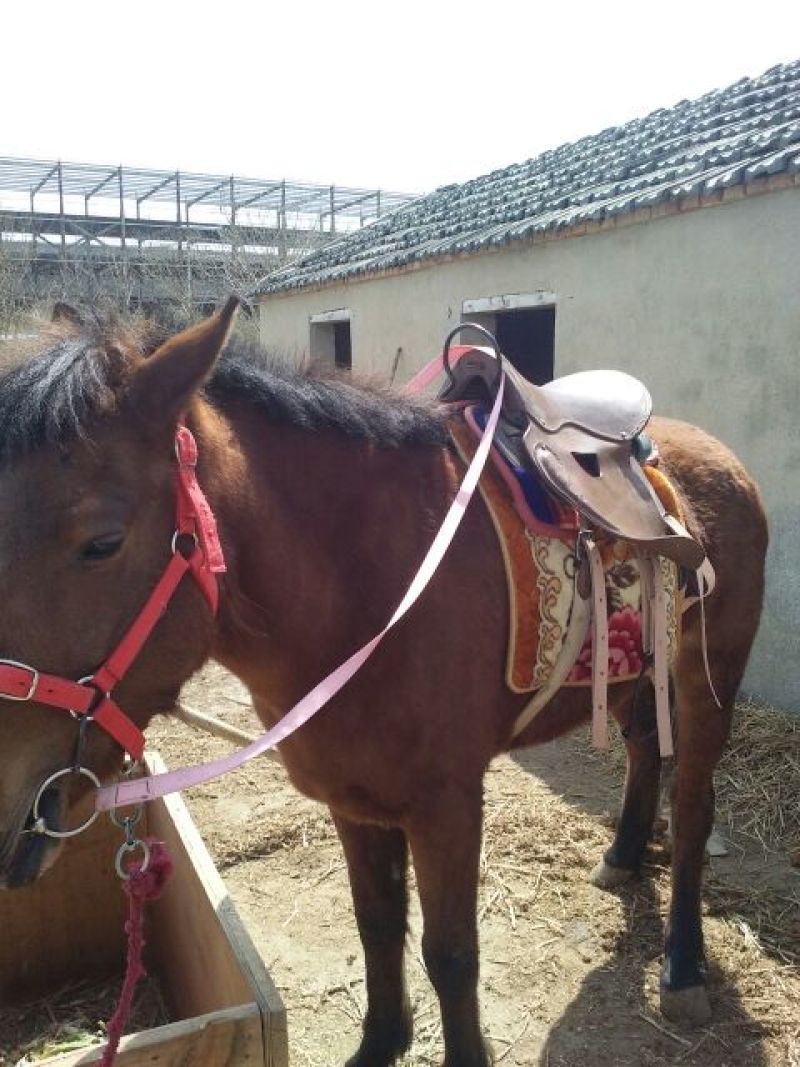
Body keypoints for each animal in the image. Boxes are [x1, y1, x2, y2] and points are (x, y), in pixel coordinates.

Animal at [0, 300, 768, 1066]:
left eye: (102, 542)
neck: (370, 587)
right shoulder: (353, 800)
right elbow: (376, 925)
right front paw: (382, 1039)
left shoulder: (447, 805)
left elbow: (451, 954)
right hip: (640, 675)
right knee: (644, 754)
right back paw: (624, 854)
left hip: (708, 683)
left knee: (693, 810)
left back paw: (684, 965)